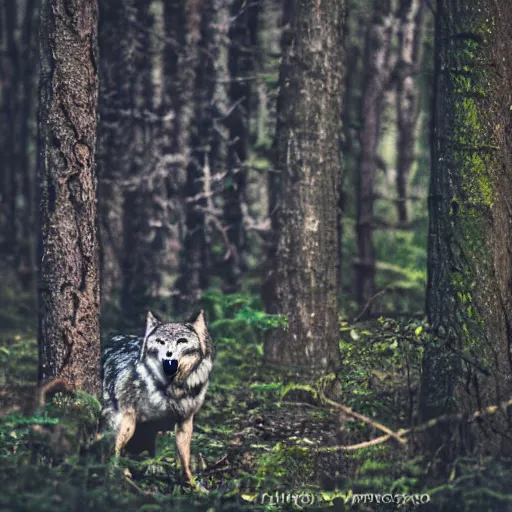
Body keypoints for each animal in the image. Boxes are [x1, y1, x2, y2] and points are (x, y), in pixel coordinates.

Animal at [101, 310, 215, 486]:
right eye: (160, 342)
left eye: (182, 341)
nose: (169, 358)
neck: (172, 389)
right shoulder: (127, 420)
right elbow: (115, 453)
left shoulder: (184, 422)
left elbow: (184, 460)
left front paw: (193, 485)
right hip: (127, 426)